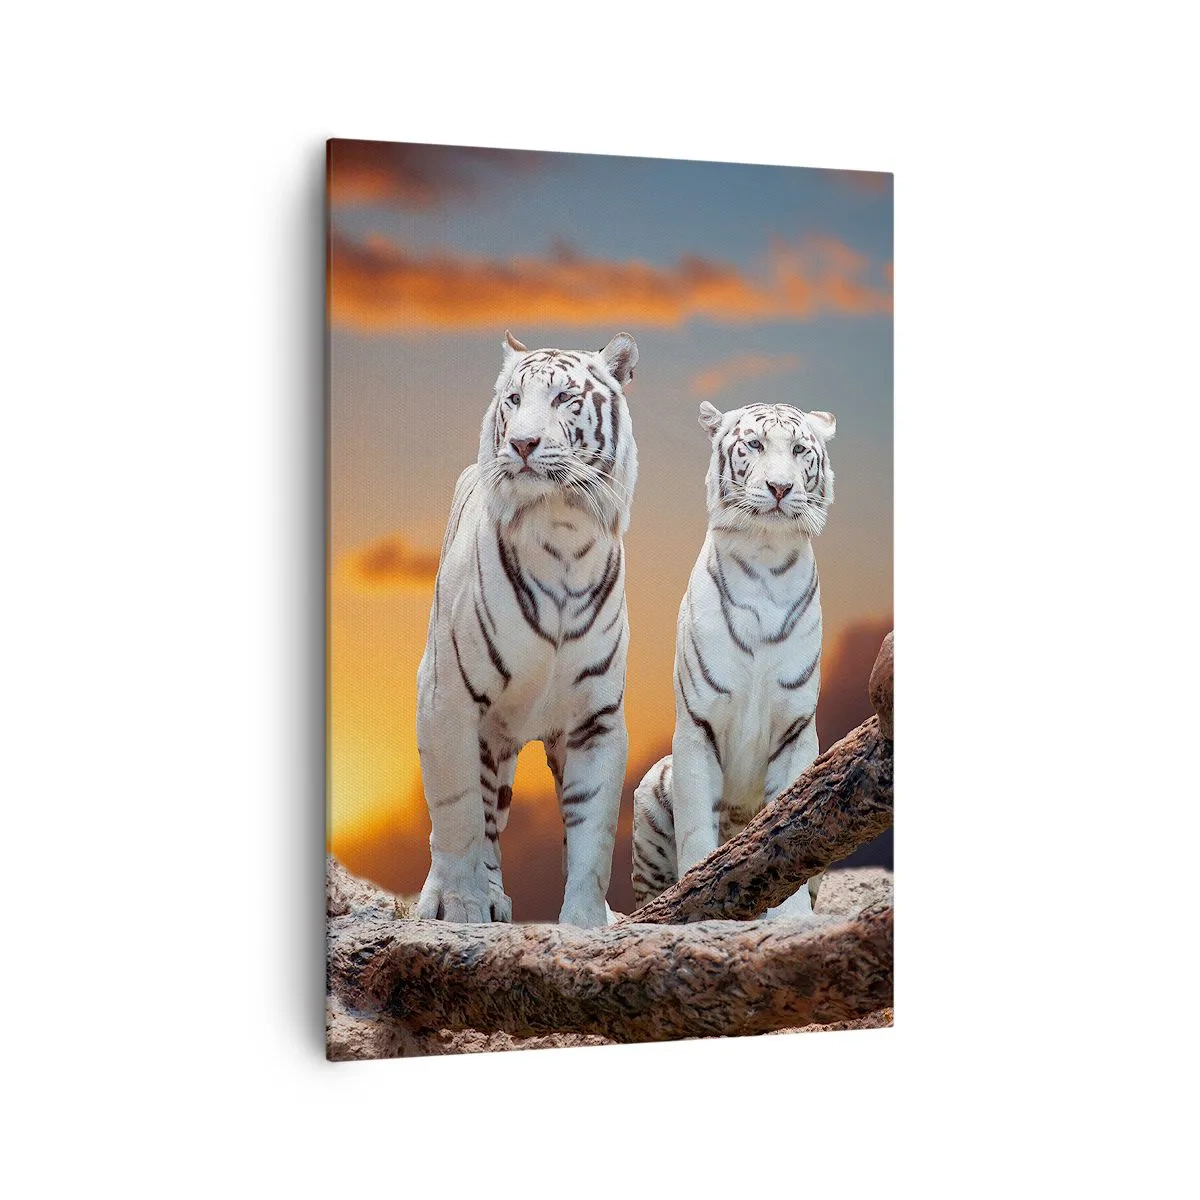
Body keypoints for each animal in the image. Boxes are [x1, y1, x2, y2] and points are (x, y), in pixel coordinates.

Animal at [415, 330, 639, 927]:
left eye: (565, 398)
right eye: (514, 400)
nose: (521, 444)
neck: (562, 532)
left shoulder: (596, 718)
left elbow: (593, 831)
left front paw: (587, 923)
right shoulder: (447, 697)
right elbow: (458, 815)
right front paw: (461, 907)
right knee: (477, 817)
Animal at [631, 399, 836, 916]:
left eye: (799, 450)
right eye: (755, 445)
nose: (780, 487)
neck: (766, 558)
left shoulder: (797, 729)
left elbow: (790, 824)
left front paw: (791, 916)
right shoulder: (696, 725)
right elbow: (697, 830)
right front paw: (695, 896)